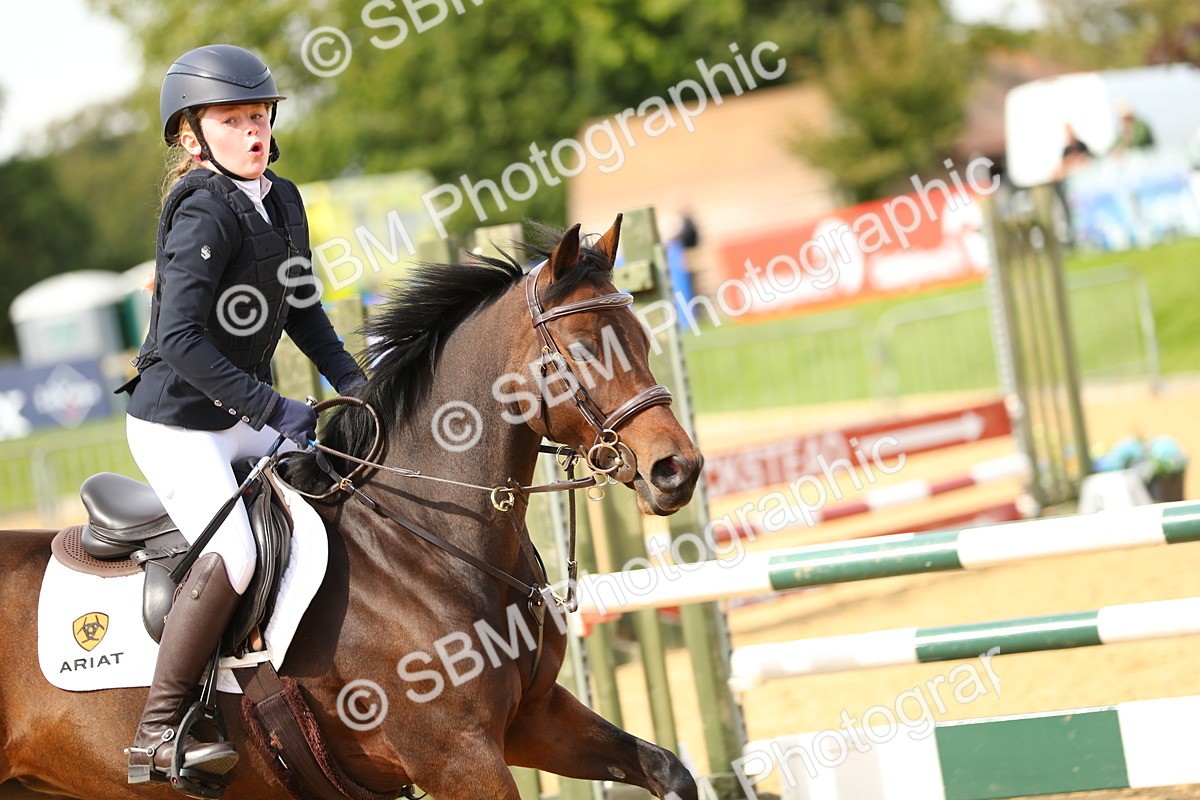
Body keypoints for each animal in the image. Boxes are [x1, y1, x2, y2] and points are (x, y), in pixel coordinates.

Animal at [0, 216, 704, 800]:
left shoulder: (535, 718)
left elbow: (667, 768)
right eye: (583, 349)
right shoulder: (457, 757)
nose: (678, 469)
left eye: (642, 339)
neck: (424, 544)